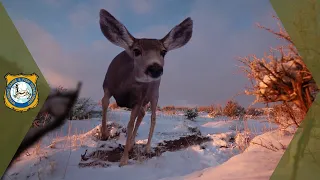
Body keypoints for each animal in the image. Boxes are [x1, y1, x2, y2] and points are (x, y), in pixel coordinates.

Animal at [98, 8, 192, 166]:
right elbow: (104, 103)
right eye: (136, 51)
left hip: (155, 94)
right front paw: (104, 134)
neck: (124, 87)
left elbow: (130, 124)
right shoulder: (107, 86)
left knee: (152, 118)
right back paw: (131, 144)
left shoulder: (139, 98)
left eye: (163, 52)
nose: (155, 68)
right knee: (142, 115)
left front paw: (123, 160)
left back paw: (146, 148)